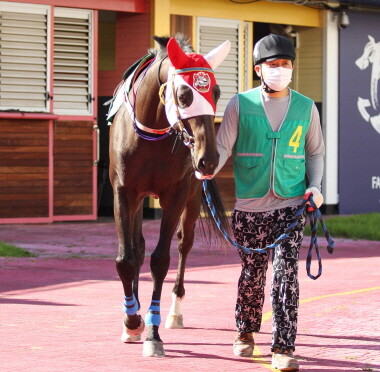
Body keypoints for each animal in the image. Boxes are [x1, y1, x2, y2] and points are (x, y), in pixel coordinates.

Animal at [108, 35, 230, 358]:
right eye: (185, 95)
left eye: (216, 91)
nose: (209, 160)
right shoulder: (124, 192)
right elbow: (126, 259)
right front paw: (131, 321)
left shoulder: (175, 194)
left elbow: (161, 260)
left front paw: (152, 332)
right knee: (137, 248)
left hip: (193, 195)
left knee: (184, 244)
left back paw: (174, 311)